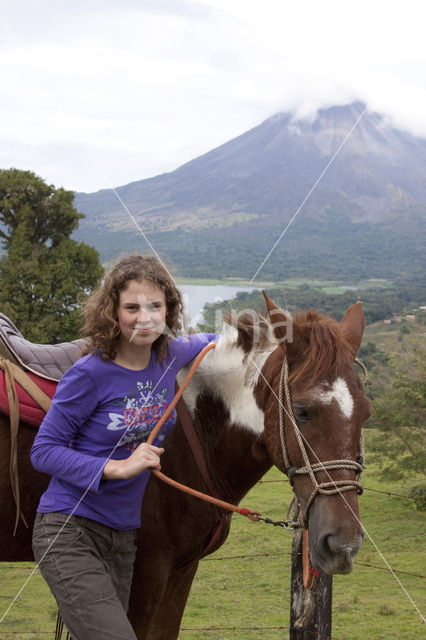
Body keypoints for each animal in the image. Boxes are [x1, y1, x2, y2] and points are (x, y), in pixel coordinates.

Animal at [0, 296, 370, 640]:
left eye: (366, 412)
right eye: (303, 411)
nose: (343, 544)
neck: (193, 432)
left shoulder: (181, 570)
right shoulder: (145, 573)